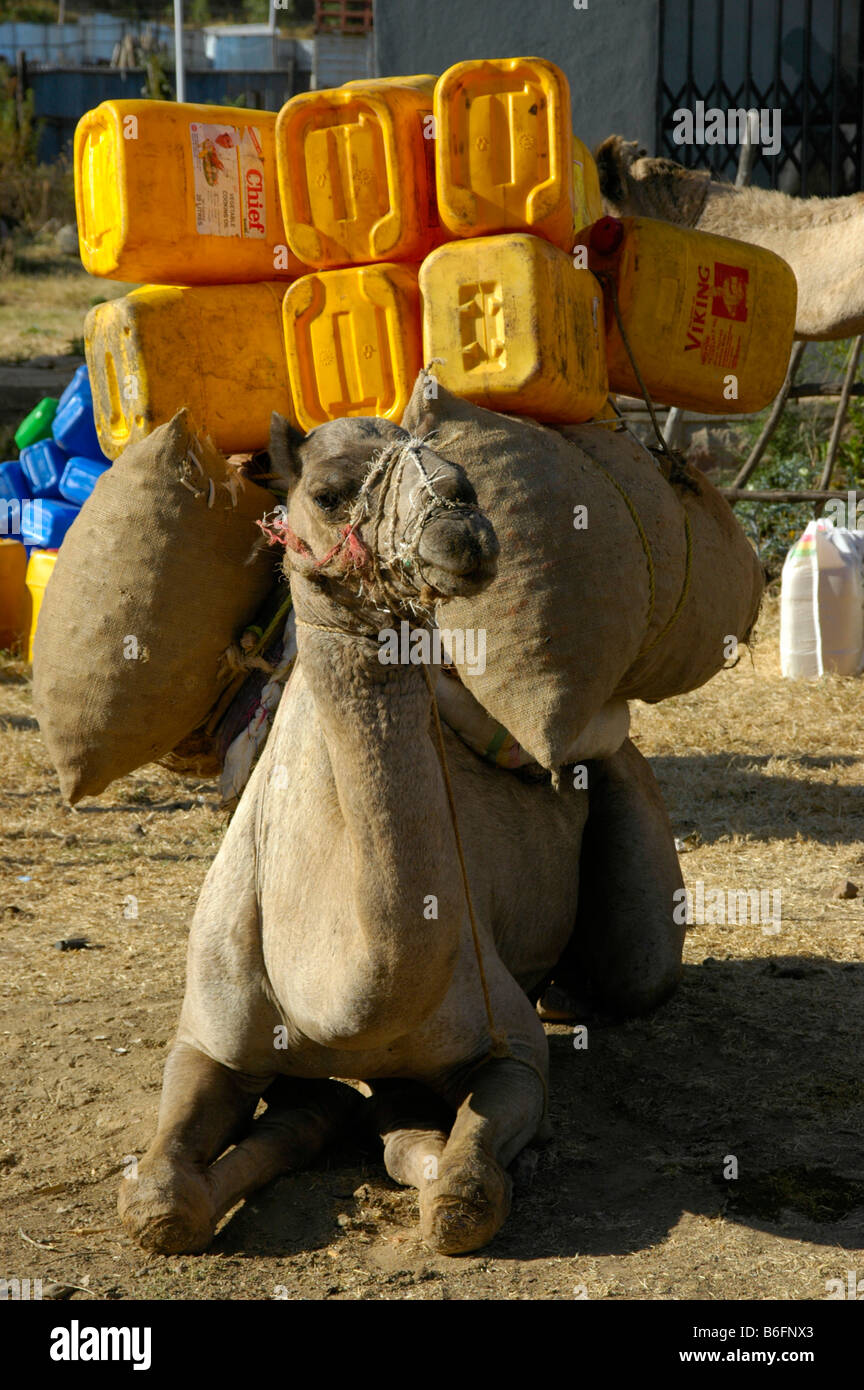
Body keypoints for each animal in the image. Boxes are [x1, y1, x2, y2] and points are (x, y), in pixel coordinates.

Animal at [122, 414, 686, 1262]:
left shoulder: (510, 1046)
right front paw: (312, 1118)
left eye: (466, 475)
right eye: (327, 493)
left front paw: (444, 1141)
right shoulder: (207, 1038)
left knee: (636, 973)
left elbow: (460, 1197)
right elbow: (160, 1207)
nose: (463, 527)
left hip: (626, 808)